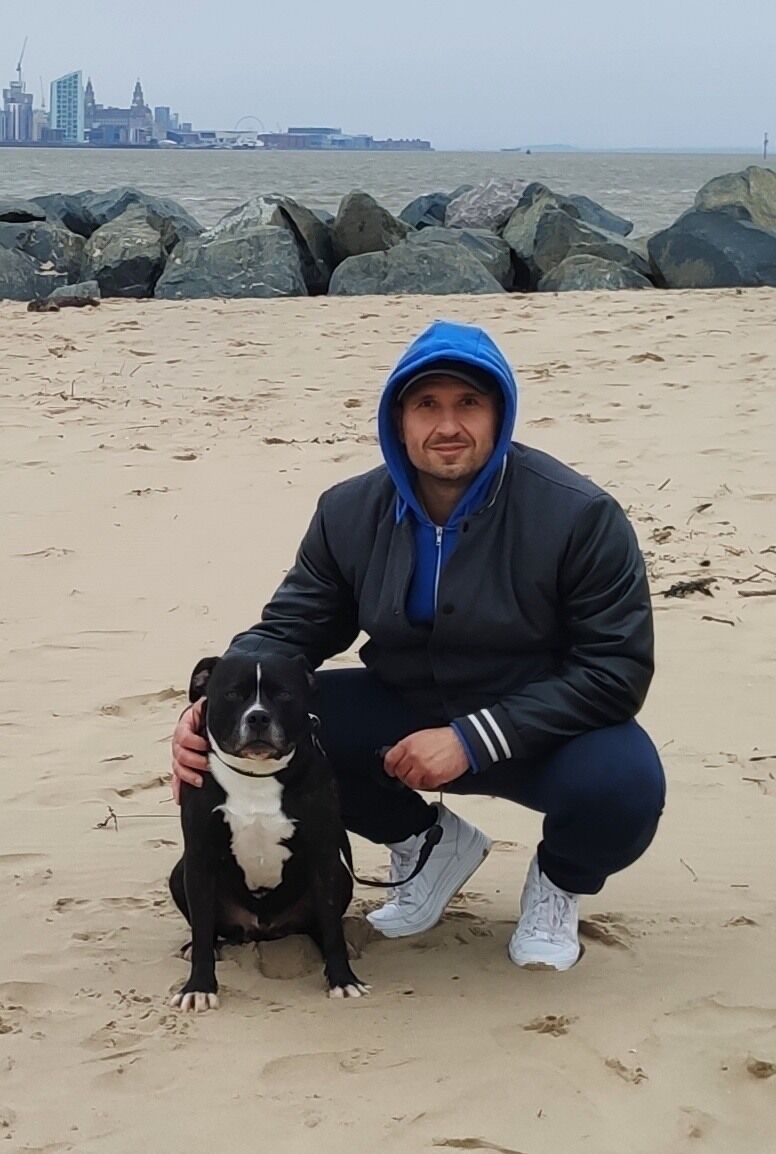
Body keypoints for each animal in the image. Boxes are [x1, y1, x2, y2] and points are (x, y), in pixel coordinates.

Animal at [169, 652, 369, 1010]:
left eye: (284, 694)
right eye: (233, 693)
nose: (258, 717)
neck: (256, 775)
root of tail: (263, 929)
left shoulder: (324, 855)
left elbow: (331, 924)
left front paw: (343, 979)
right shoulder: (199, 857)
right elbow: (202, 929)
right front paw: (199, 987)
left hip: (340, 875)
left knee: (321, 921)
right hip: (180, 874)